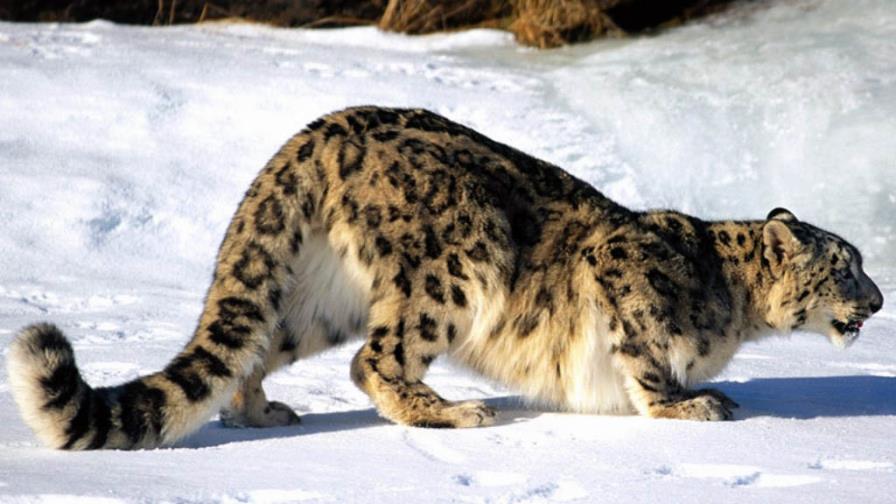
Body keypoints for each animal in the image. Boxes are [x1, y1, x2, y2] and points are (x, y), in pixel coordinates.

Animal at [7, 106, 884, 450]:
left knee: (257, 345)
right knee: (376, 361)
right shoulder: (623, 274)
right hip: (463, 256)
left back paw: (259, 413)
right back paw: (452, 413)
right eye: (846, 264)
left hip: (316, 297)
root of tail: (319, 132)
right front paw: (690, 405)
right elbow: (644, 358)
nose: (879, 301)